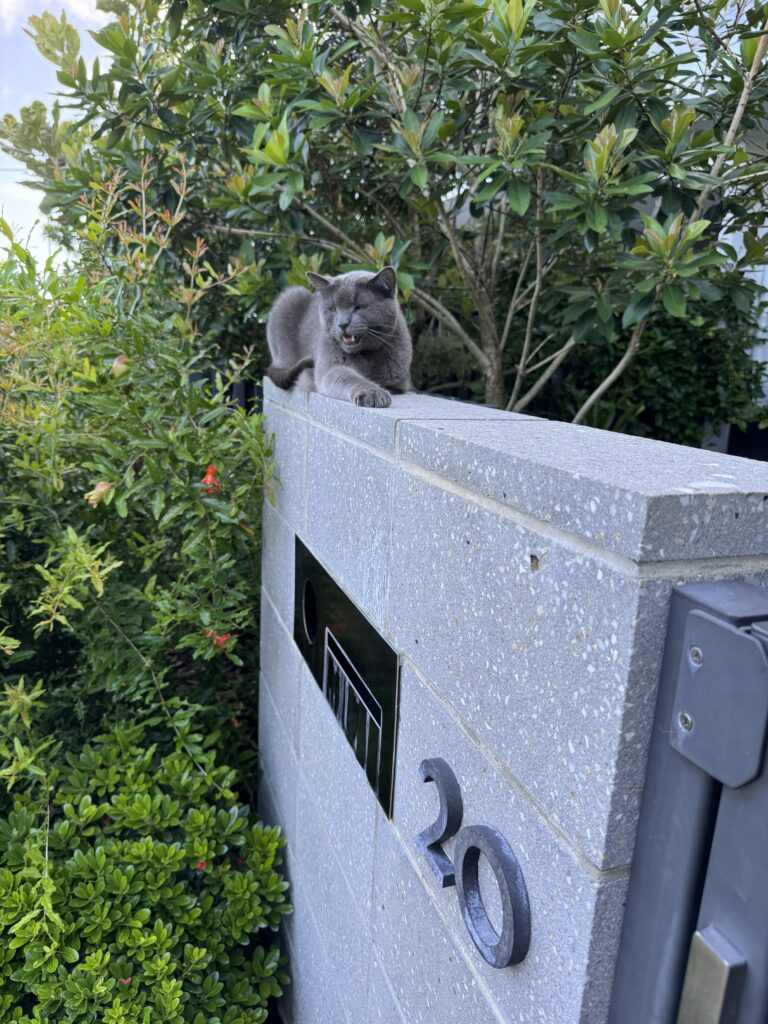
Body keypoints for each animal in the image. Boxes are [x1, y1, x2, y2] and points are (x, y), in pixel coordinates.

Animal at [266, 266, 411, 405]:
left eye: (358, 307)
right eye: (333, 308)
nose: (342, 324)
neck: (365, 355)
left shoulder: (398, 380)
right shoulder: (330, 367)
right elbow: (347, 377)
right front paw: (373, 393)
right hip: (289, 299)